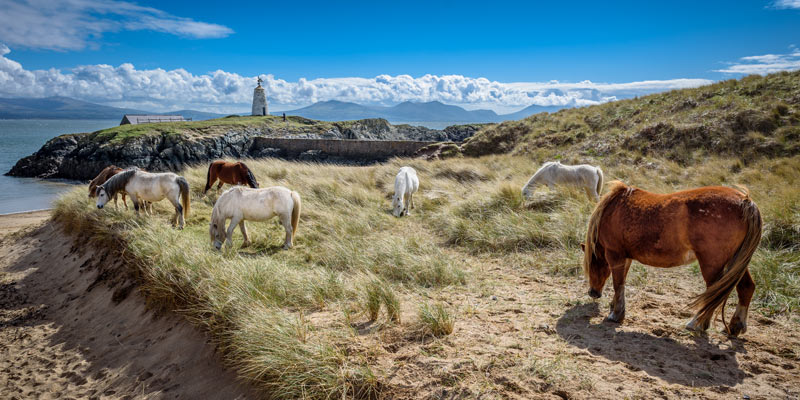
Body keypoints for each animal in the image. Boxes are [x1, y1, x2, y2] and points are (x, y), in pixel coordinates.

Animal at [580, 180, 764, 334]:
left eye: (592, 264)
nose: (593, 293)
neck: (612, 209)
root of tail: (745, 201)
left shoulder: (615, 255)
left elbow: (618, 284)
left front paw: (616, 315)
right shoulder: (626, 257)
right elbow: (621, 283)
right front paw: (614, 309)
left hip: (712, 264)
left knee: (713, 293)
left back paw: (697, 323)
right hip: (735, 263)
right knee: (746, 288)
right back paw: (735, 326)